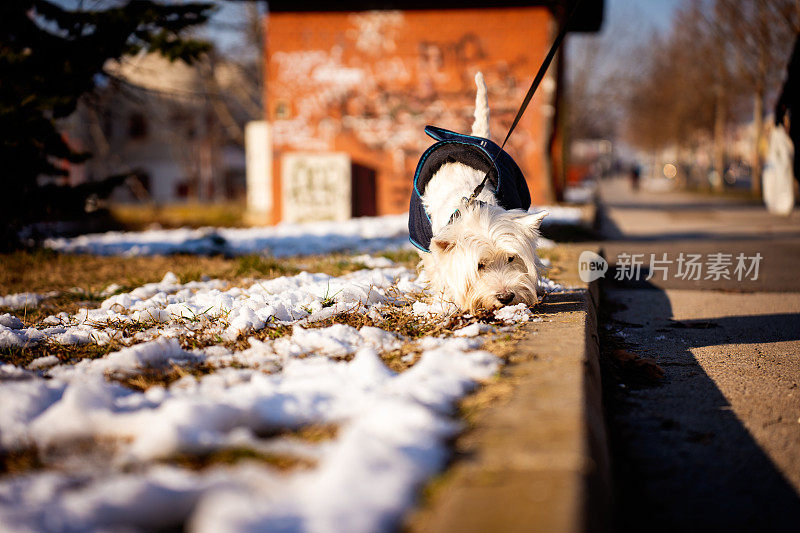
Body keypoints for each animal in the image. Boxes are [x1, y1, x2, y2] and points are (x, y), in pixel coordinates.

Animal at [410, 71, 548, 312]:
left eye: (512, 258)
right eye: (480, 265)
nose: (506, 296)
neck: (469, 203)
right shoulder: (430, 249)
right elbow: (438, 270)